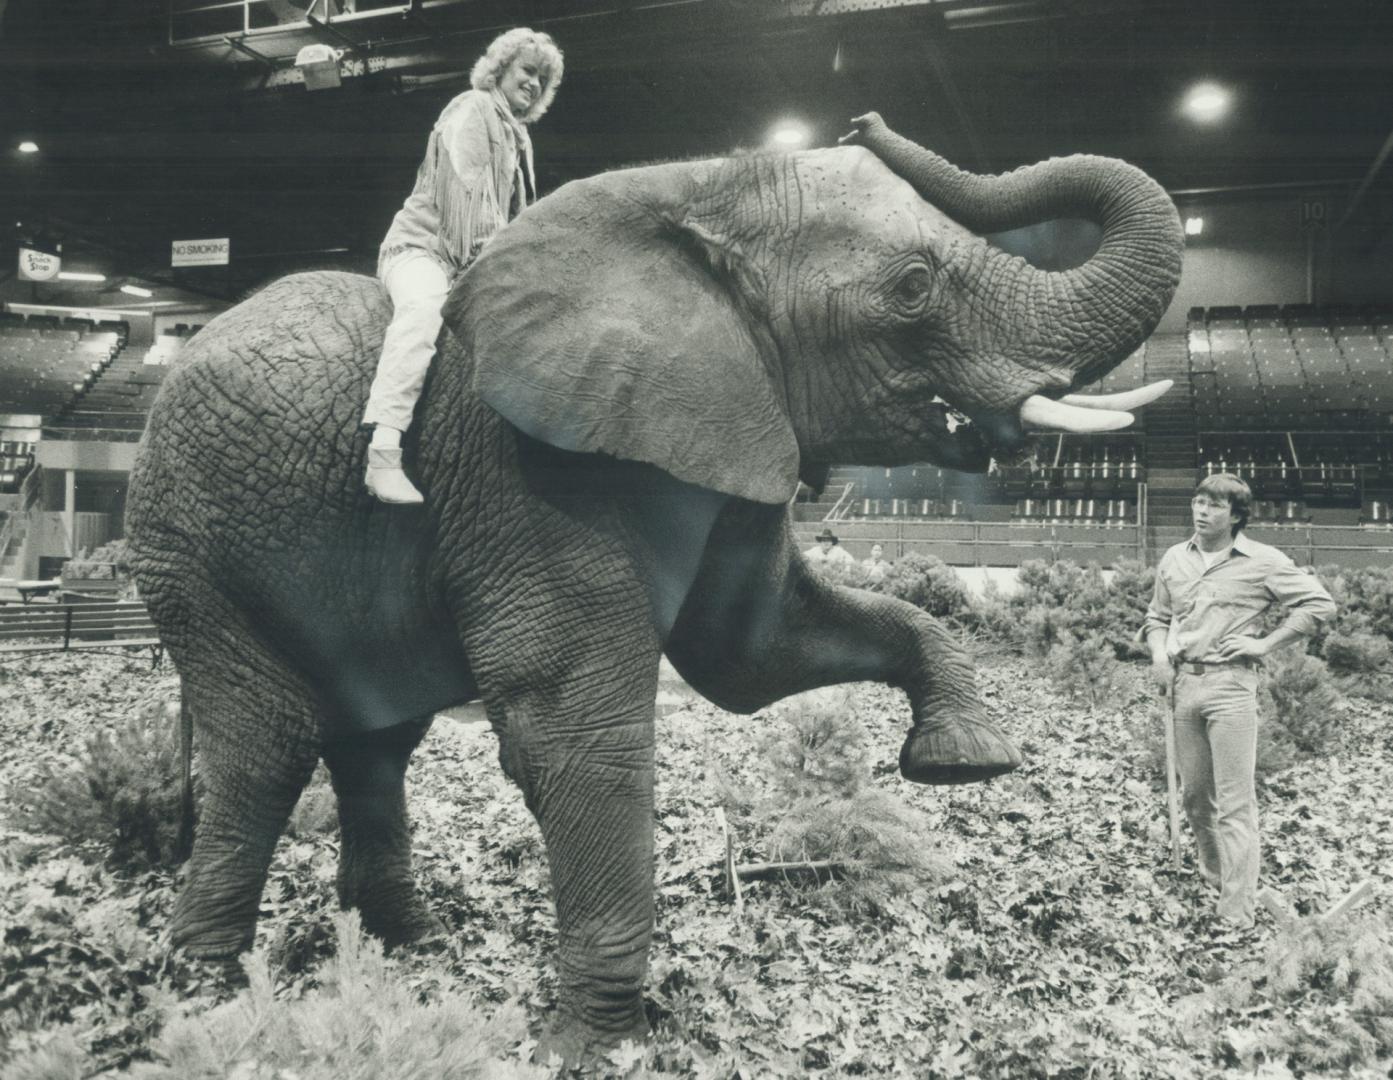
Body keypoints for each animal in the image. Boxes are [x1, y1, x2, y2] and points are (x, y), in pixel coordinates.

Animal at [125, 112, 1181, 1064]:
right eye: (913, 287)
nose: (865, 119)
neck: (697, 192)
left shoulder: (735, 427)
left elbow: (754, 656)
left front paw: (961, 760)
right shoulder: (528, 474)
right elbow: (578, 730)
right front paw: (597, 1046)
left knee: (376, 741)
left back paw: (407, 947)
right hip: (188, 545)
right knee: (266, 743)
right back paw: (206, 999)